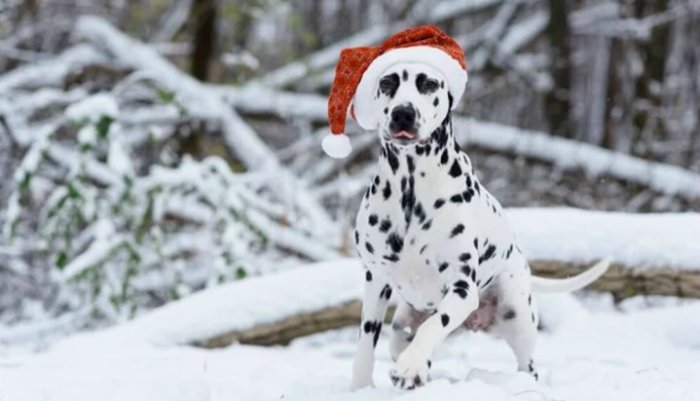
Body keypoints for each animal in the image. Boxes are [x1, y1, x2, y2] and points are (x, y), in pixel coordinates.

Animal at [350, 61, 608, 390]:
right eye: (387, 83)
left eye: (428, 84)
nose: (403, 113)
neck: (411, 187)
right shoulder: (376, 280)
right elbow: (365, 341)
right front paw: (360, 387)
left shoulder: (462, 289)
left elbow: (434, 325)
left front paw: (410, 366)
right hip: (400, 329)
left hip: (517, 315)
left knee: (527, 365)